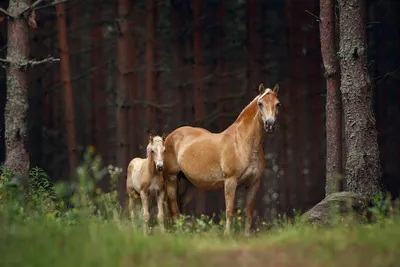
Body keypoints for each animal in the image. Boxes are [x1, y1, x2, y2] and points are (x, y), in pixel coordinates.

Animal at [162, 84, 282, 237]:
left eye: (277, 104)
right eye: (260, 104)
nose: (270, 124)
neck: (242, 142)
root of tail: (170, 136)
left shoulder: (254, 183)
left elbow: (248, 211)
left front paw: (247, 236)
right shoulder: (230, 181)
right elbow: (229, 211)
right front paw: (227, 235)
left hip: (191, 183)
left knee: (181, 202)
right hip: (171, 178)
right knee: (174, 207)